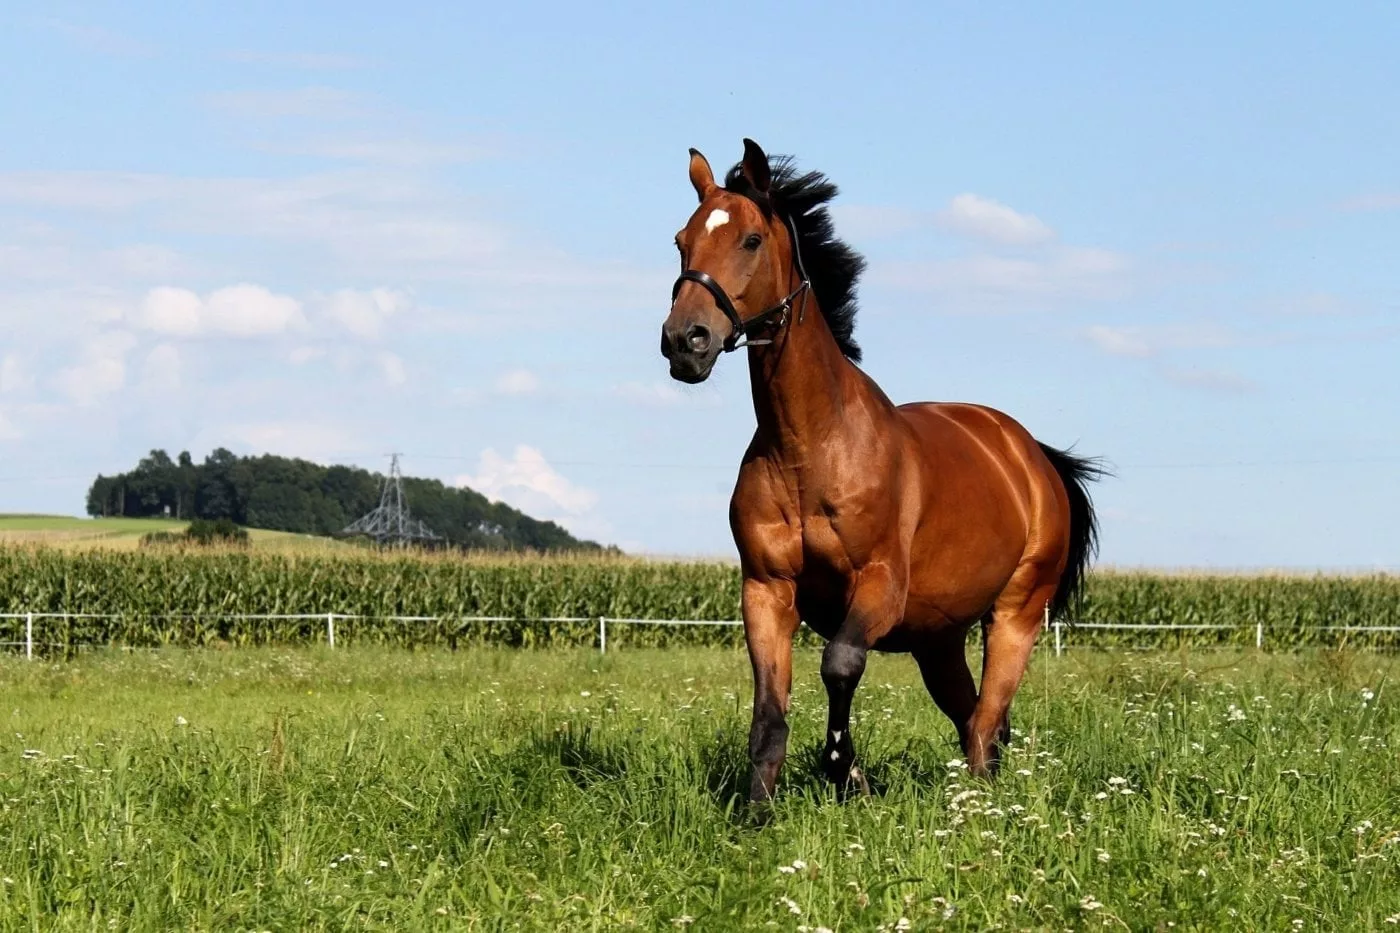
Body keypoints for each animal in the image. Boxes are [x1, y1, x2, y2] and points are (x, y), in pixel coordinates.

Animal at [658, 137, 1103, 806]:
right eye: (682, 241)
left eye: (750, 240)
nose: (685, 341)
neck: (810, 450)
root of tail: (1033, 455)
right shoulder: (765, 589)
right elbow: (769, 709)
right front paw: (758, 808)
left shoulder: (878, 587)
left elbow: (840, 664)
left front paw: (846, 771)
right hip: (938, 640)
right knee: (976, 718)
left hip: (1016, 615)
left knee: (987, 721)